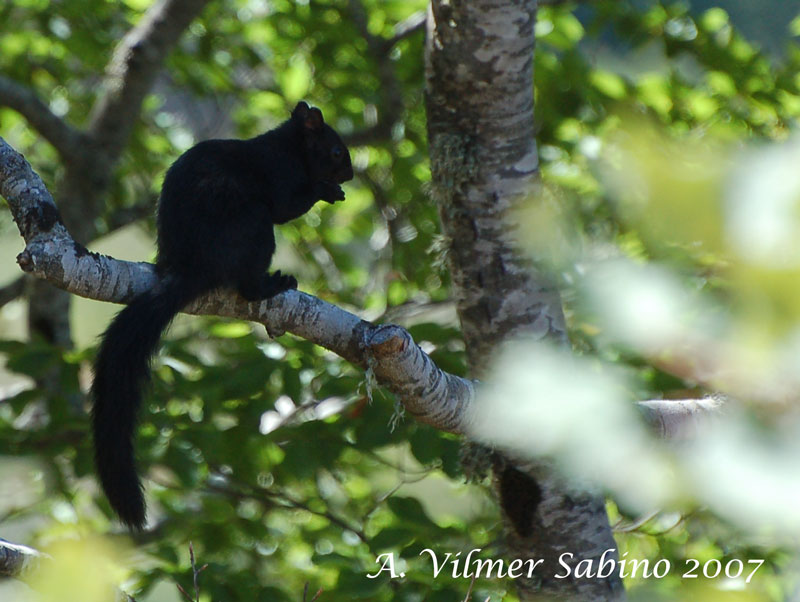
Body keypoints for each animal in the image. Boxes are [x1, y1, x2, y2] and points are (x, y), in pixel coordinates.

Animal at [91, 101, 354, 528]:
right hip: (254, 227)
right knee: (248, 278)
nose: (350, 174)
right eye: (335, 151)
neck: (289, 147)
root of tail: (191, 267)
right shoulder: (281, 176)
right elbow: (287, 206)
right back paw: (271, 284)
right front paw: (326, 191)